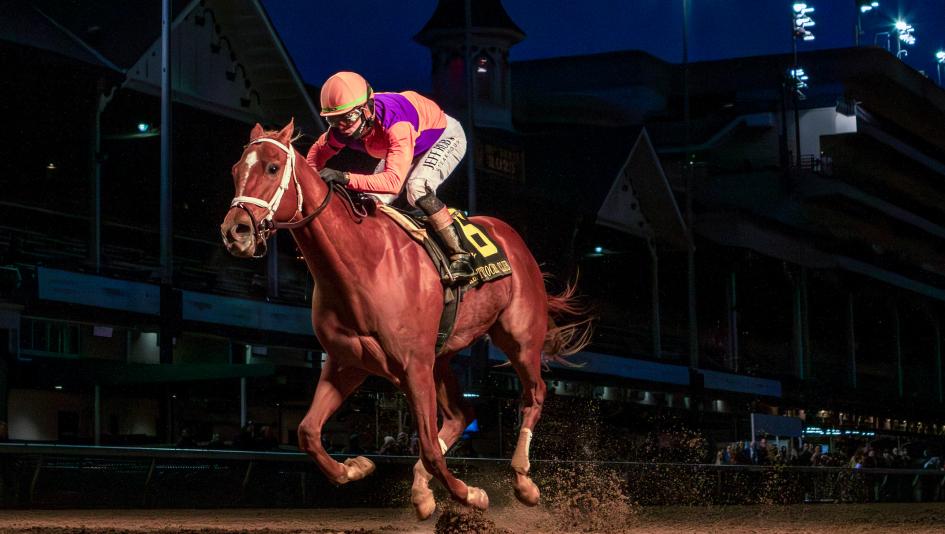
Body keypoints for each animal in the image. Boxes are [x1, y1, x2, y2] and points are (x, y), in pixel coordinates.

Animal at [220, 120, 592, 519]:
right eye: (235, 170)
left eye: (273, 168)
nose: (235, 231)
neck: (362, 262)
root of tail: (514, 239)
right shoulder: (348, 361)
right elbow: (308, 433)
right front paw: (356, 467)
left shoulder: (413, 363)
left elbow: (428, 446)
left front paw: (470, 494)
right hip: (441, 356)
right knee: (461, 414)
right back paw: (421, 488)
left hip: (520, 338)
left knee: (533, 394)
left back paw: (523, 480)